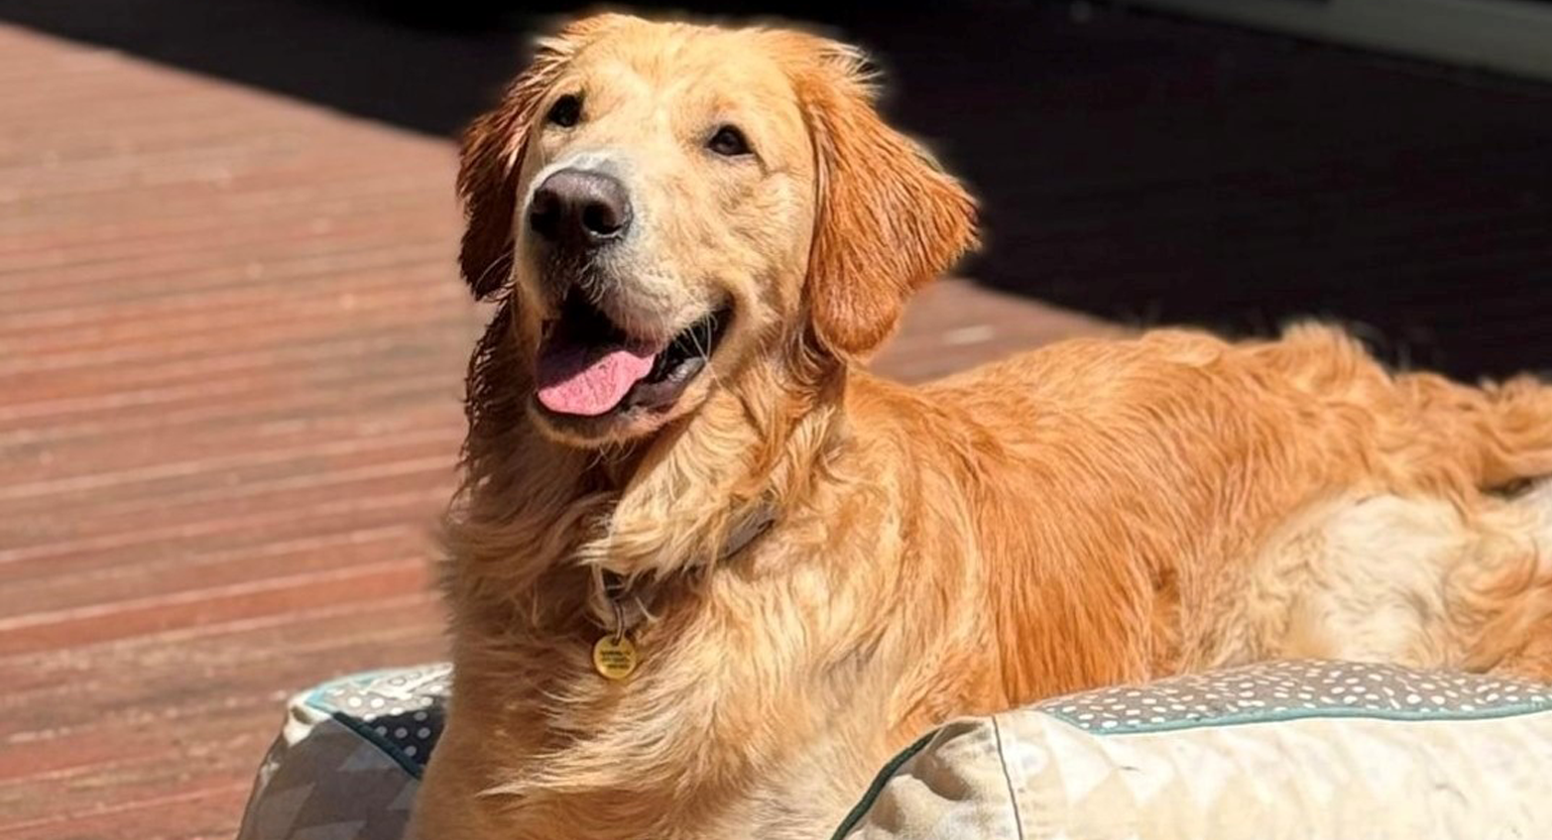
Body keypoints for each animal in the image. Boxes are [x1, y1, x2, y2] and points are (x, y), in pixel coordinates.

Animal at [419, 13, 1552, 838]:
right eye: (565, 115)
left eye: (726, 141)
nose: (569, 206)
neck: (634, 558)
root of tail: (1392, 388)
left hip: (1323, 592)